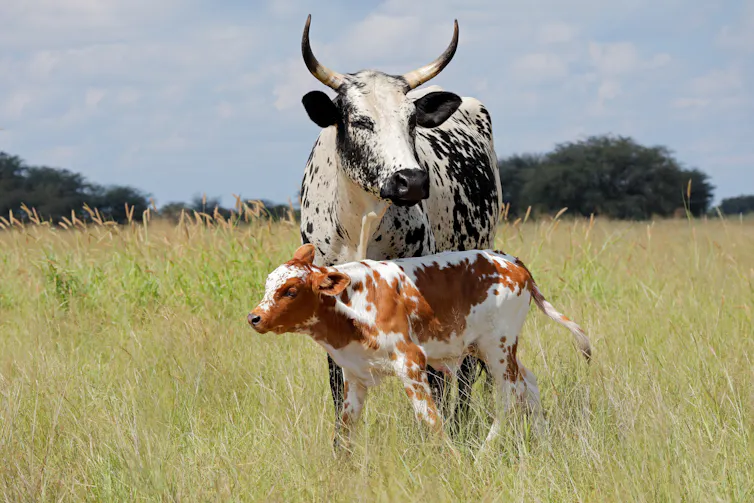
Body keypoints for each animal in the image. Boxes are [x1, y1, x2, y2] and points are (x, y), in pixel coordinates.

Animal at [247, 244, 592, 454]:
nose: (255, 317)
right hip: (492, 350)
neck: (355, 302)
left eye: (290, 290)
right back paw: (545, 445)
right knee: (528, 385)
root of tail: (508, 260)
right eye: (267, 285)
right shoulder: (355, 375)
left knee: (507, 399)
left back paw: (483, 455)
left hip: (499, 348)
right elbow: (346, 427)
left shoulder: (411, 362)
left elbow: (430, 418)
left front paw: (455, 462)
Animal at [297, 15, 503, 445]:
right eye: (360, 121)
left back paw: (460, 424)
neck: (359, 222)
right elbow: (339, 380)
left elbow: (430, 378)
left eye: (411, 120)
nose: (411, 181)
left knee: (461, 371)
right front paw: (343, 444)